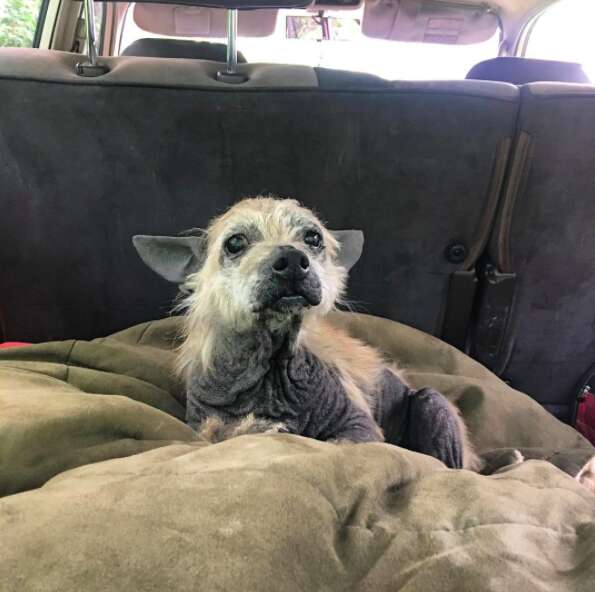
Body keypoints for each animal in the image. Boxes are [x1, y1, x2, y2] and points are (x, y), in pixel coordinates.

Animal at [134, 197, 480, 470]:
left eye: (313, 237)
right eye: (235, 242)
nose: (291, 259)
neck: (271, 368)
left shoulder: (358, 426)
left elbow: (340, 444)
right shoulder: (203, 425)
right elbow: (225, 432)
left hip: (433, 404)